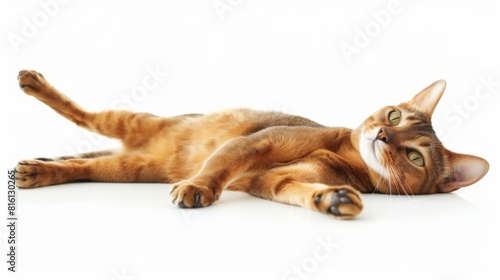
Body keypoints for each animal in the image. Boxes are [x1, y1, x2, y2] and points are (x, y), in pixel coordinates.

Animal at [14, 70, 488, 219]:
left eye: (413, 156)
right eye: (394, 117)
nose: (382, 135)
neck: (345, 154)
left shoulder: (272, 181)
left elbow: (302, 190)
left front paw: (333, 200)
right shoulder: (258, 143)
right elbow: (220, 164)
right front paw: (199, 187)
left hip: (132, 169)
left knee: (84, 165)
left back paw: (39, 168)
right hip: (136, 122)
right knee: (85, 115)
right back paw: (32, 82)